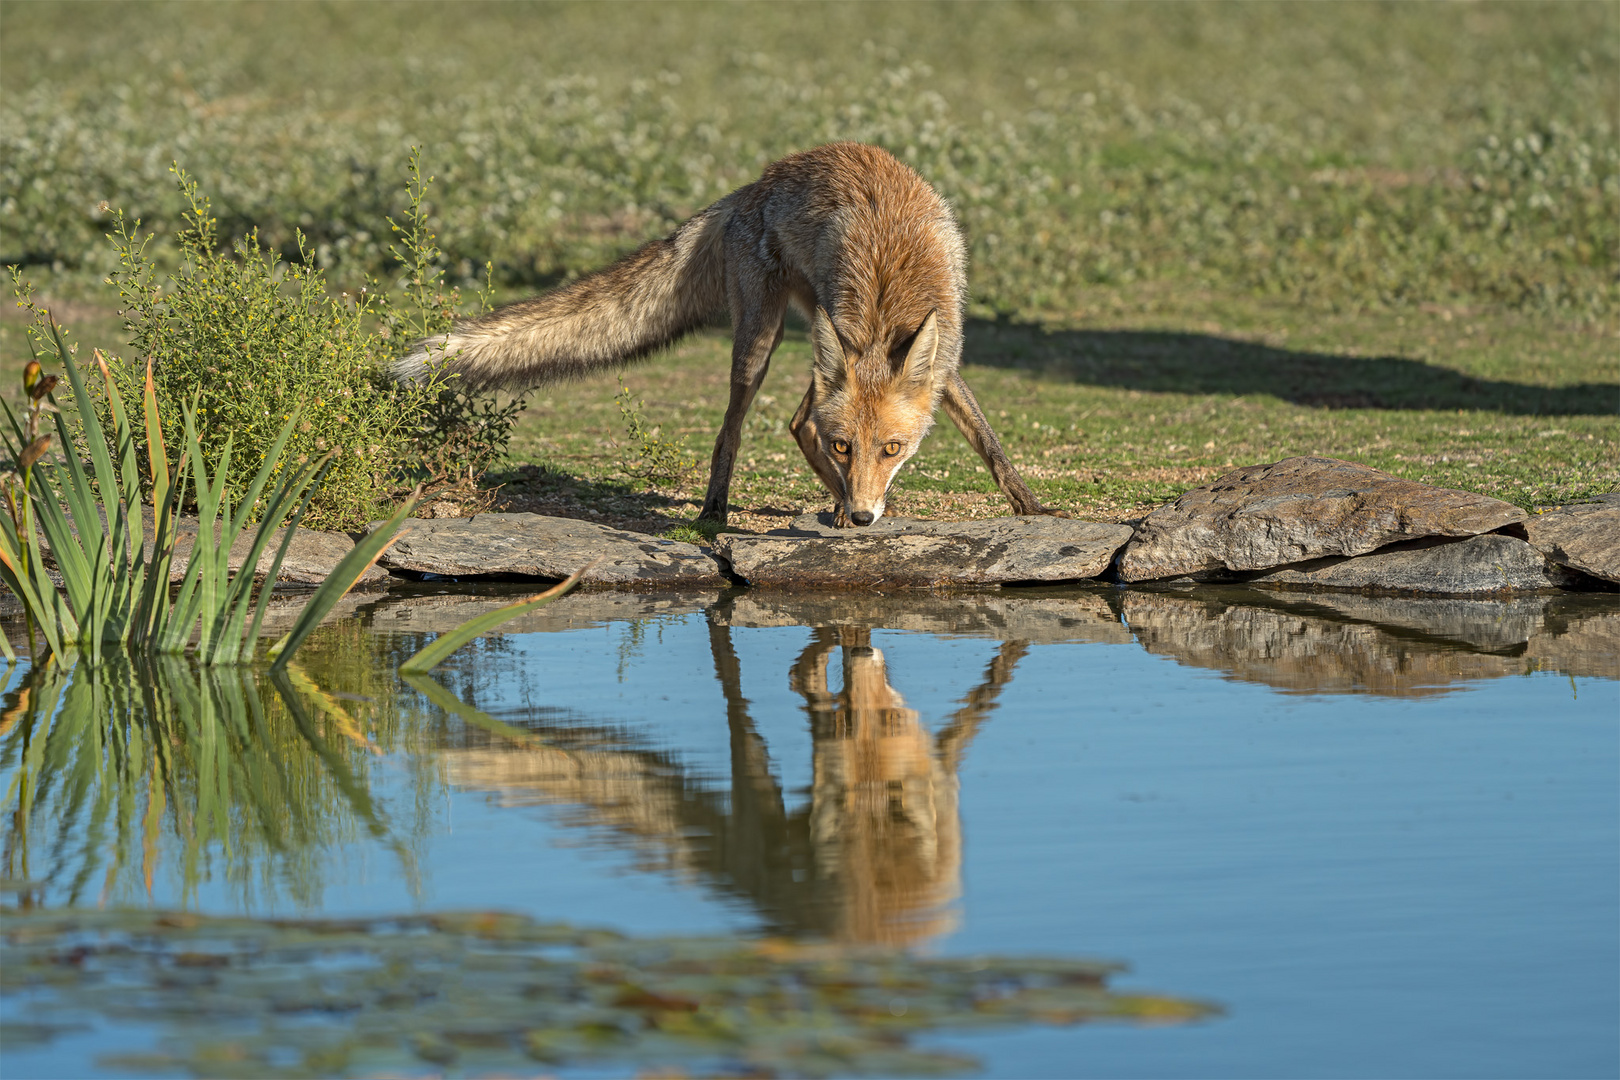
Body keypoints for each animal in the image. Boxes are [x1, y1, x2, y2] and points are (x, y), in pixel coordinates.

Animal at [398, 141, 1062, 531]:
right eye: (847, 445)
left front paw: (1030, 506)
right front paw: (839, 506)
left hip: (805, 338)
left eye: (892, 449)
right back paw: (719, 512)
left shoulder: (944, 367)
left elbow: (989, 442)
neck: (886, 305)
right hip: (762, 341)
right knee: (754, 428)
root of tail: (754, 184)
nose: (864, 516)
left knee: (796, 421)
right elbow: (809, 432)